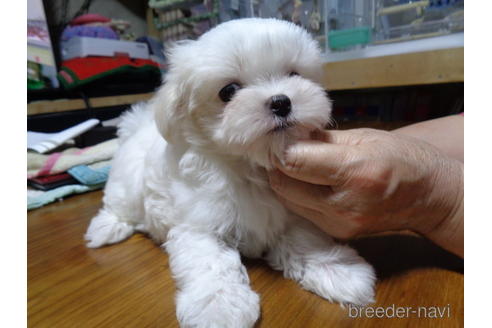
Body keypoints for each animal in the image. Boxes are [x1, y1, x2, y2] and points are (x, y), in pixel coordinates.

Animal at [85, 18, 376, 328]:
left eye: (294, 74)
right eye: (228, 91)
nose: (281, 102)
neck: (248, 166)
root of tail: (138, 128)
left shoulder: (295, 212)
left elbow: (305, 240)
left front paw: (337, 270)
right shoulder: (199, 227)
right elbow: (211, 264)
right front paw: (219, 306)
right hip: (125, 187)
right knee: (117, 205)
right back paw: (105, 228)